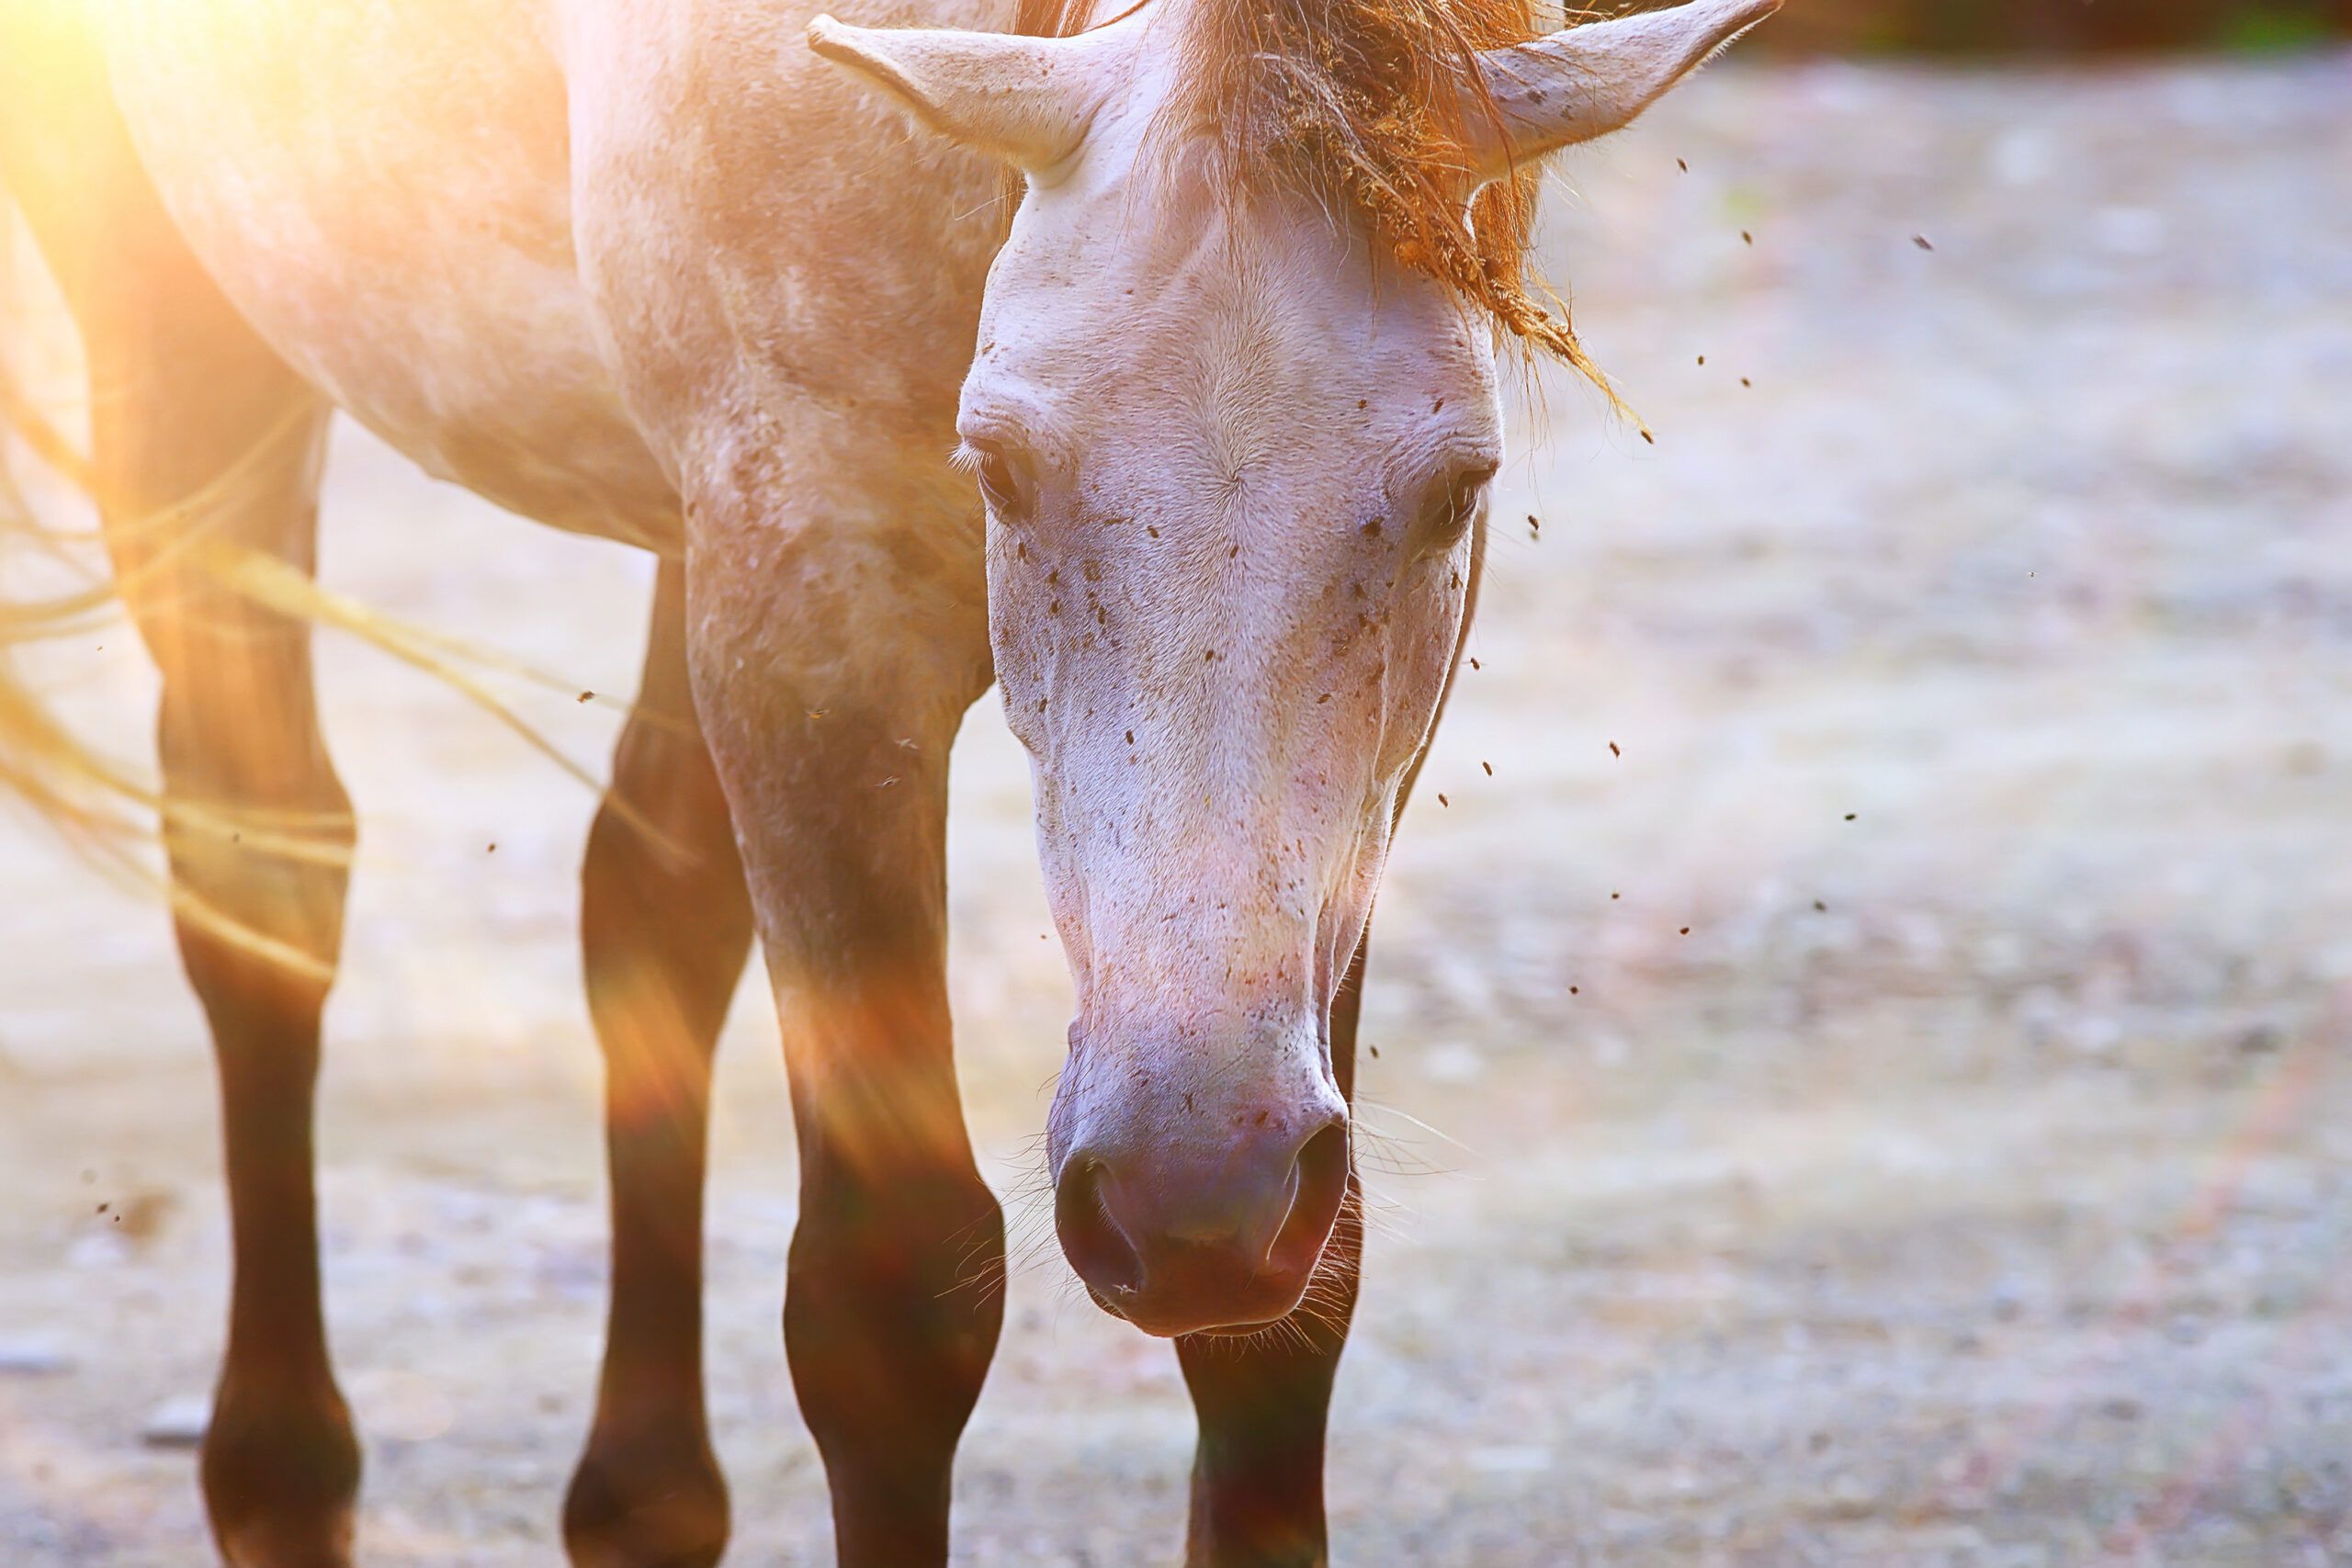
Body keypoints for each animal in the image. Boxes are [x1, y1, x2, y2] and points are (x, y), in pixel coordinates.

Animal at [0, 0, 1769, 1561]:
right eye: (1003, 466)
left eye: (1458, 487)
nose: (1191, 1188)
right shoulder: (810, 606)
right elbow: (890, 1293)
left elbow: (1283, 1322)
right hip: (182, 340)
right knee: (263, 881)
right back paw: (283, 1485)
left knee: (645, 909)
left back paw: (641, 1510)